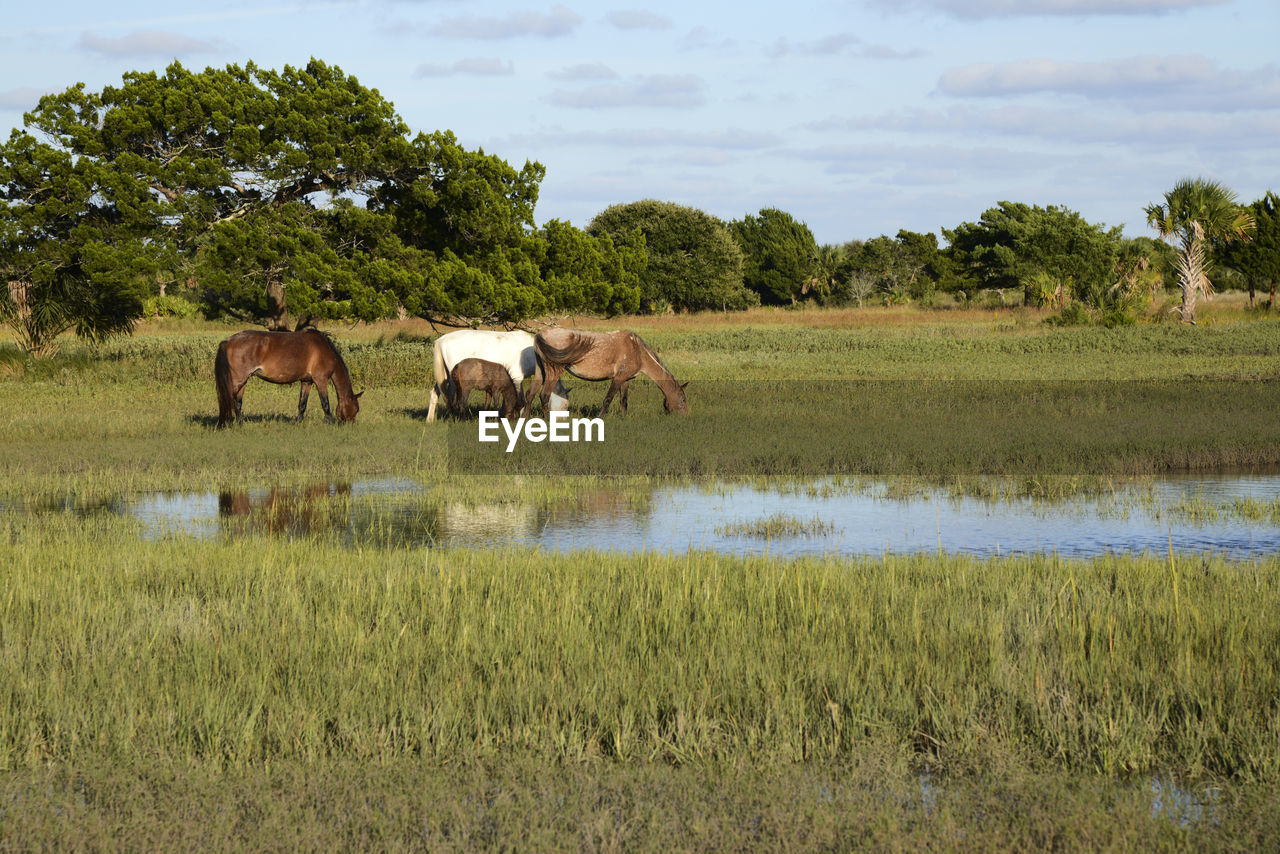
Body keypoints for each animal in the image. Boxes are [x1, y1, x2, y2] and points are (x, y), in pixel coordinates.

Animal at [215, 330, 363, 430]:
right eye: (356, 409)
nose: (352, 426)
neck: (325, 349)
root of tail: (228, 341)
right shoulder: (320, 380)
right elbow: (325, 404)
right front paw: (330, 424)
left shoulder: (306, 381)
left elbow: (302, 404)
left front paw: (298, 423)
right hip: (237, 381)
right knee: (227, 399)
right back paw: (223, 423)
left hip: (243, 381)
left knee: (237, 403)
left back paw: (239, 424)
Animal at [427, 330, 568, 422]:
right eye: (565, 405)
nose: (563, 420)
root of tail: (441, 340)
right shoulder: (516, 377)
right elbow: (520, 399)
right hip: (453, 380)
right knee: (452, 397)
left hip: (444, 376)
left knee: (436, 393)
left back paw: (430, 419)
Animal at [532, 330, 691, 414]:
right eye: (683, 399)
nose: (684, 416)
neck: (638, 351)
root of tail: (540, 334)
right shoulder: (618, 378)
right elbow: (608, 399)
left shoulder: (626, 379)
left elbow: (624, 401)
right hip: (553, 371)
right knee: (544, 395)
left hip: (540, 372)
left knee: (530, 395)